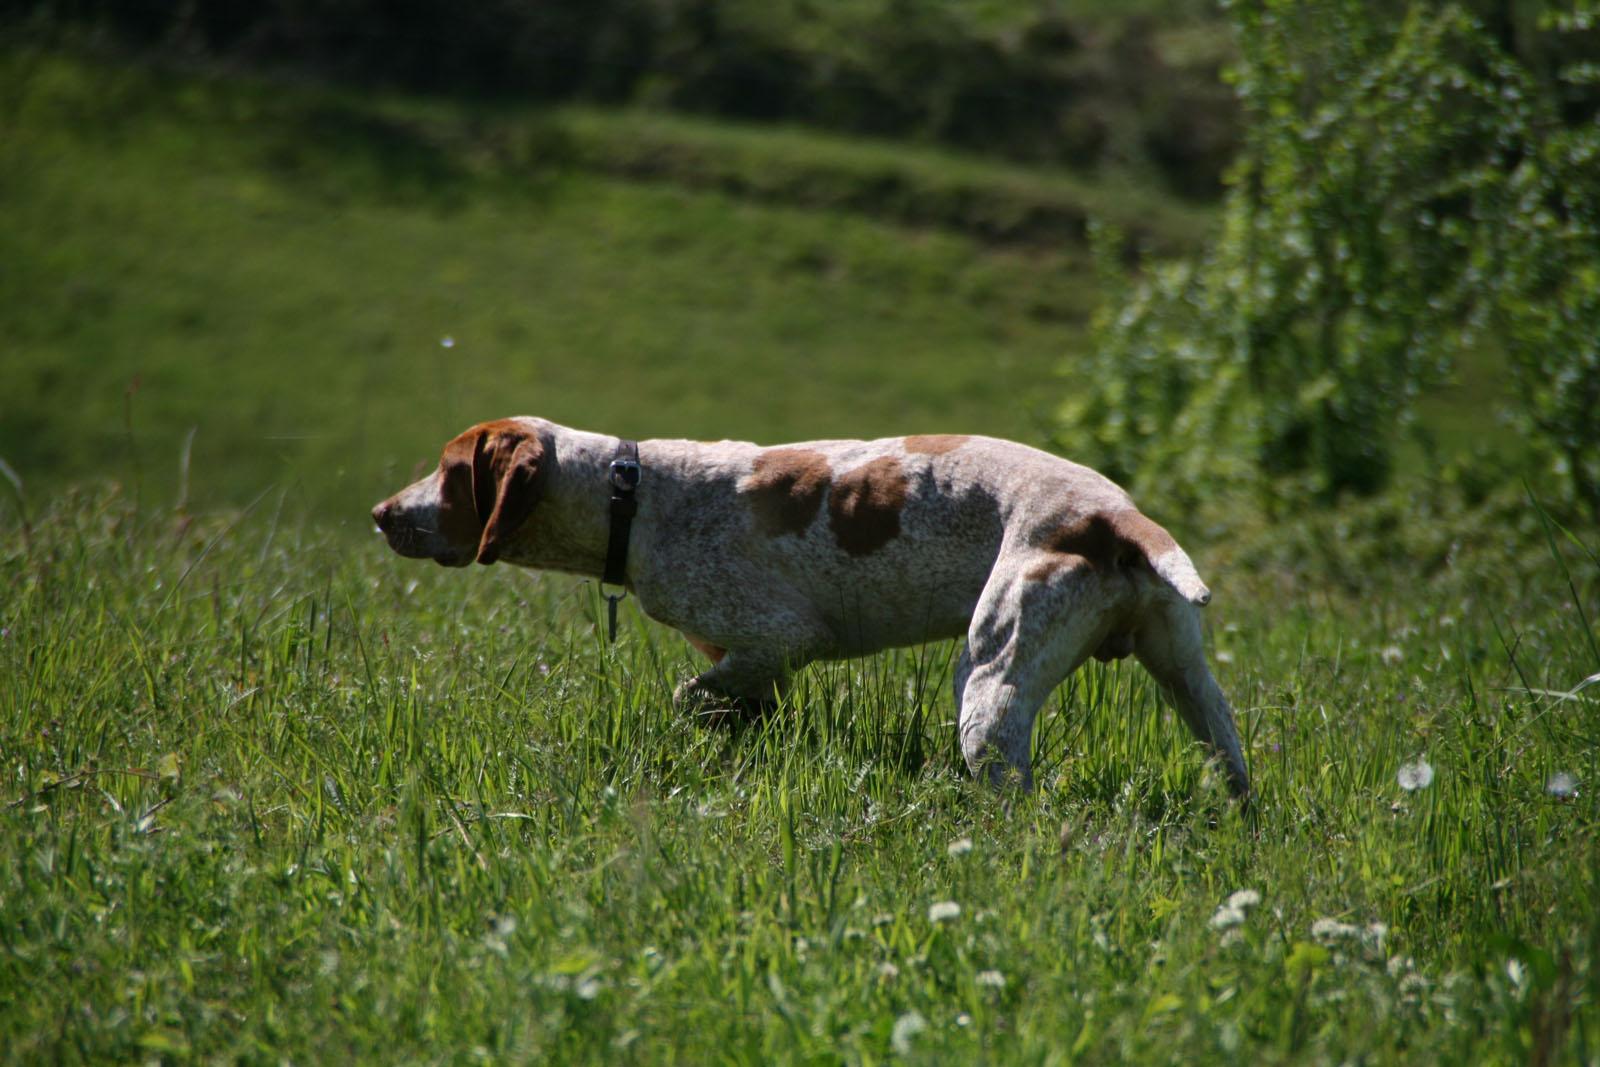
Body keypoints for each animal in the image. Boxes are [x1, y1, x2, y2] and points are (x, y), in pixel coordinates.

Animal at [371, 422, 1248, 796]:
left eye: (450, 471)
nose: (381, 512)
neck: (633, 495)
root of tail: (1117, 516)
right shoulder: (750, 665)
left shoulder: (776, 640)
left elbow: (692, 696)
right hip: (1191, 682)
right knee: (1232, 762)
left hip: (988, 683)